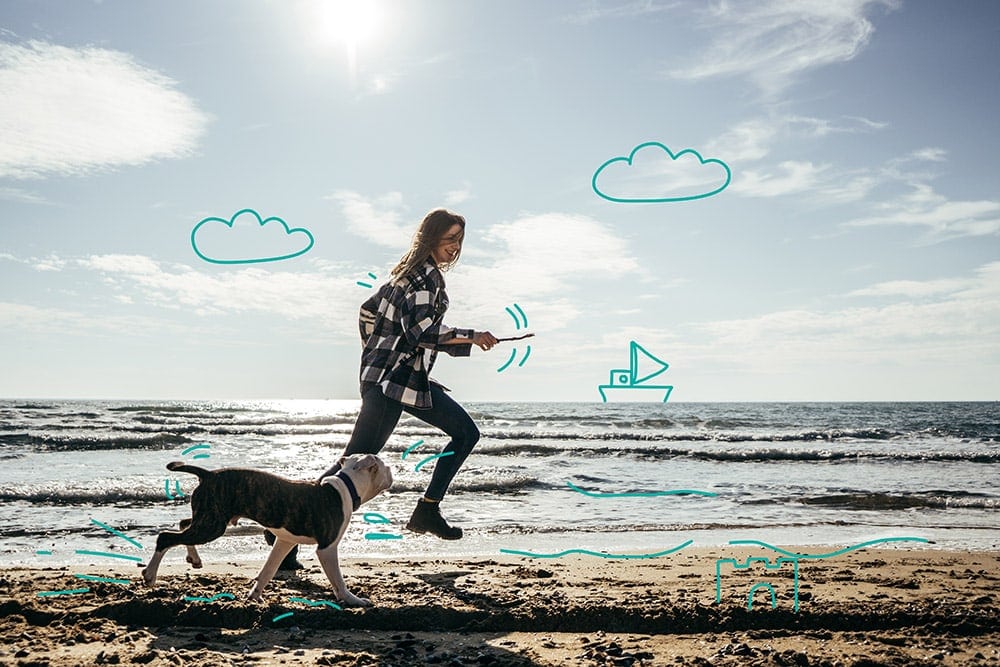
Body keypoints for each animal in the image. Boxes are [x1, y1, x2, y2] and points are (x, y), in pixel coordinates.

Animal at [141, 456, 390, 608]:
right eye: (383, 465)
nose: (392, 469)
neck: (347, 485)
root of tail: (208, 474)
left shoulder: (284, 541)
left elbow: (269, 569)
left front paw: (255, 595)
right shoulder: (327, 547)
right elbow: (337, 579)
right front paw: (352, 600)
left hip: (207, 517)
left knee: (183, 523)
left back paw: (193, 558)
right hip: (212, 525)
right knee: (165, 537)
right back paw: (150, 575)